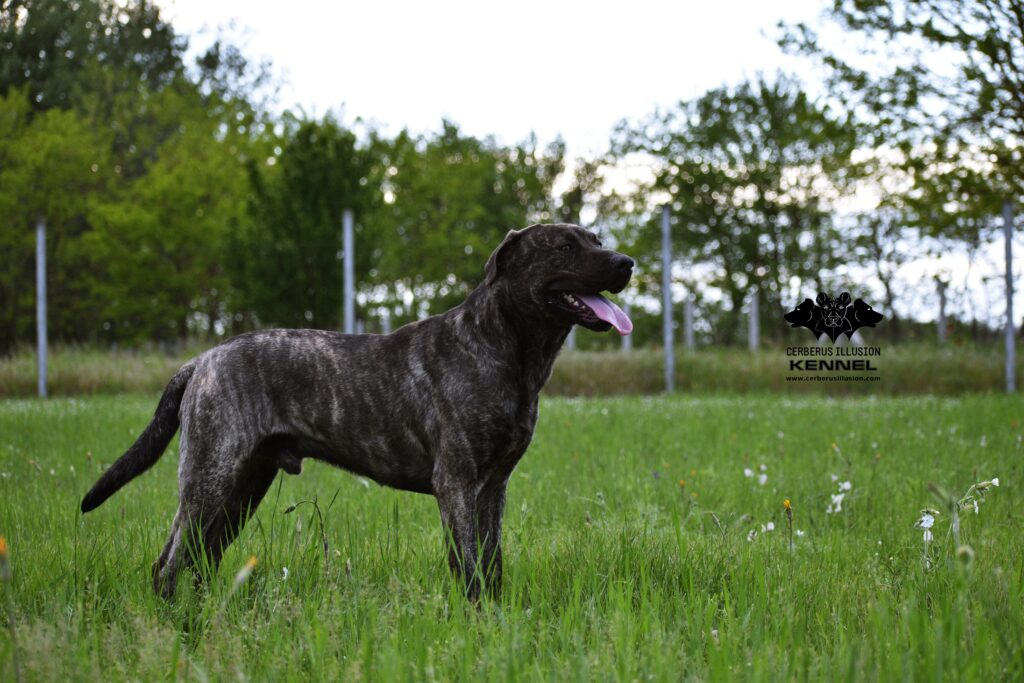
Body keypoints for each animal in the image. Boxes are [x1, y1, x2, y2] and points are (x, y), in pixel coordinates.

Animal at [83, 224, 630, 598]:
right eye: (563, 246)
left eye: (596, 238)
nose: (625, 262)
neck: (508, 349)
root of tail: (201, 361)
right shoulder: (456, 483)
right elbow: (469, 569)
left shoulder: (493, 487)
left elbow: (492, 566)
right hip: (209, 480)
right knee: (170, 563)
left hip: (241, 489)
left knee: (197, 561)